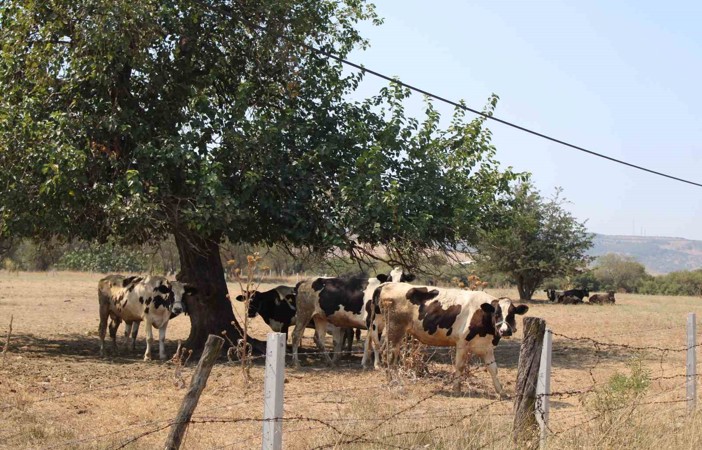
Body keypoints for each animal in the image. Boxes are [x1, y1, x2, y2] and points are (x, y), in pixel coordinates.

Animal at [374, 284, 528, 396]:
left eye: (512, 314)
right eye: (496, 313)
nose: (505, 330)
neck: (482, 314)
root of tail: (387, 284)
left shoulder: (486, 347)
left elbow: (493, 369)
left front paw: (501, 392)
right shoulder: (462, 344)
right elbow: (459, 366)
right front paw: (456, 389)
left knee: (387, 354)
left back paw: (391, 381)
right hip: (395, 330)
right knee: (389, 355)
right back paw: (395, 383)